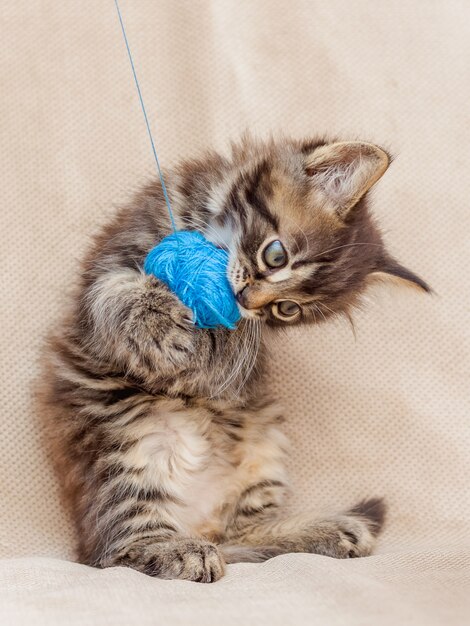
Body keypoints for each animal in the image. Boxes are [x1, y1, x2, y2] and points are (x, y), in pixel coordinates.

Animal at [40, 135, 430, 580]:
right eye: (276, 256)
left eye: (287, 309)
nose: (247, 300)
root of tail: (198, 524)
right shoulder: (112, 263)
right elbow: (115, 294)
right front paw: (159, 321)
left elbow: (221, 356)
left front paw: (211, 335)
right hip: (126, 449)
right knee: (114, 550)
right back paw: (181, 550)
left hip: (263, 443)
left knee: (229, 540)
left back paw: (328, 530)